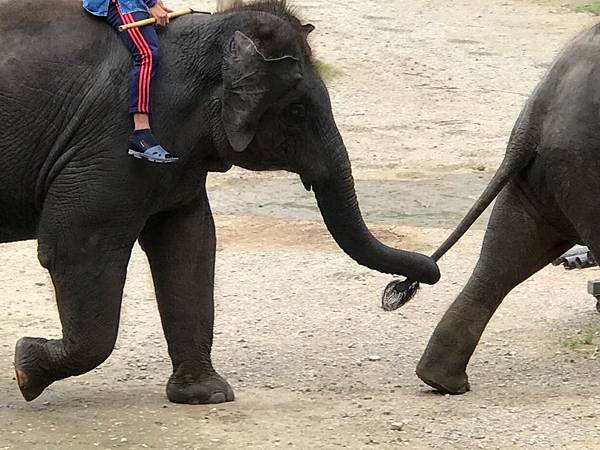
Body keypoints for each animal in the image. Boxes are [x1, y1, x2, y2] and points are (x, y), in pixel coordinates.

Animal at [1, 0, 440, 402]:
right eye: (296, 111)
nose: (413, 282)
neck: (209, 33)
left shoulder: (175, 158)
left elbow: (189, 243)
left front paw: (206, 395)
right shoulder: (112, 147)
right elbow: (75, 247)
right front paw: (26, 369)